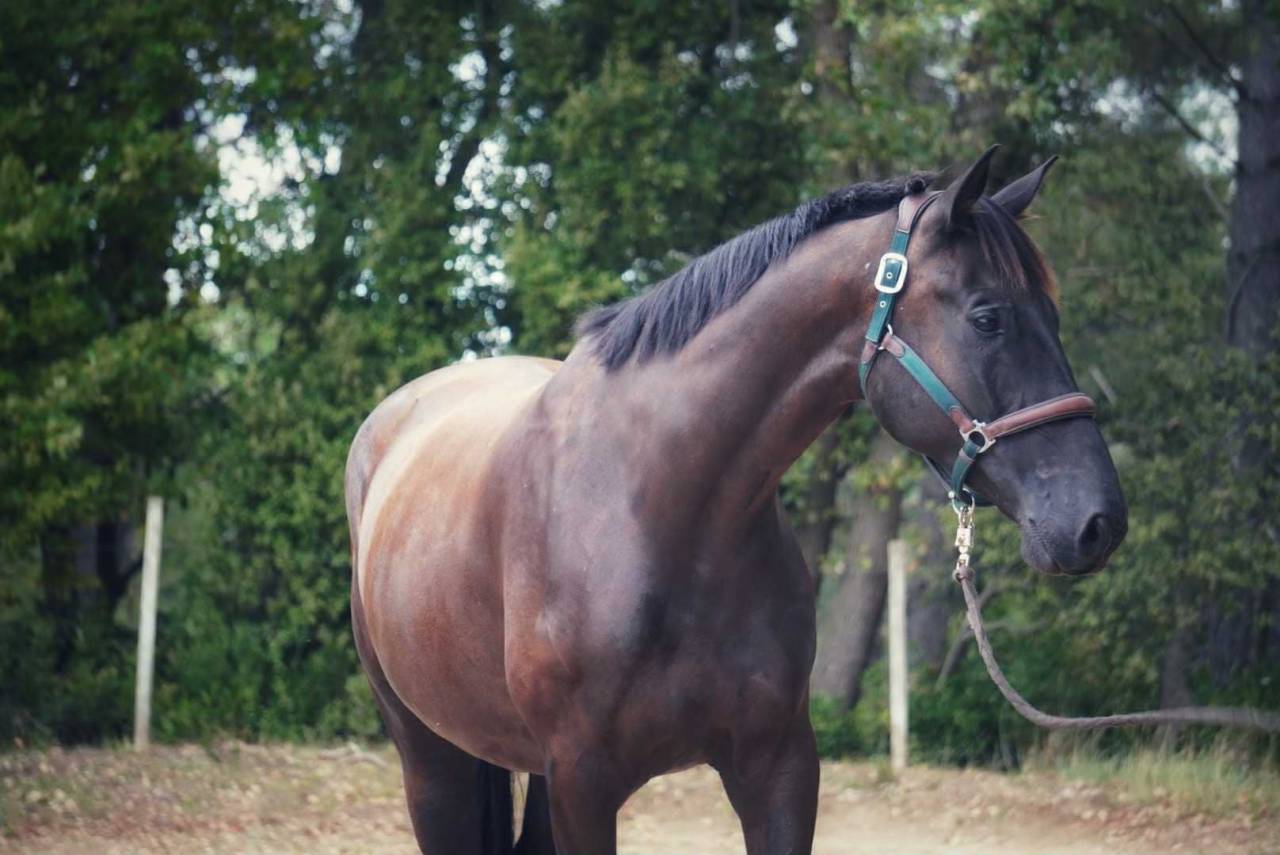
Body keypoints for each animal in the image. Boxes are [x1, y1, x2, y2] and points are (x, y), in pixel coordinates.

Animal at [344, 146, 1128, 855]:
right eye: (988, 317)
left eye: (1053, 315)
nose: (1098, 522)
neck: (663, 515)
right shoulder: (582, 783)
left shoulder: (778, 768)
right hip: (431, 758)